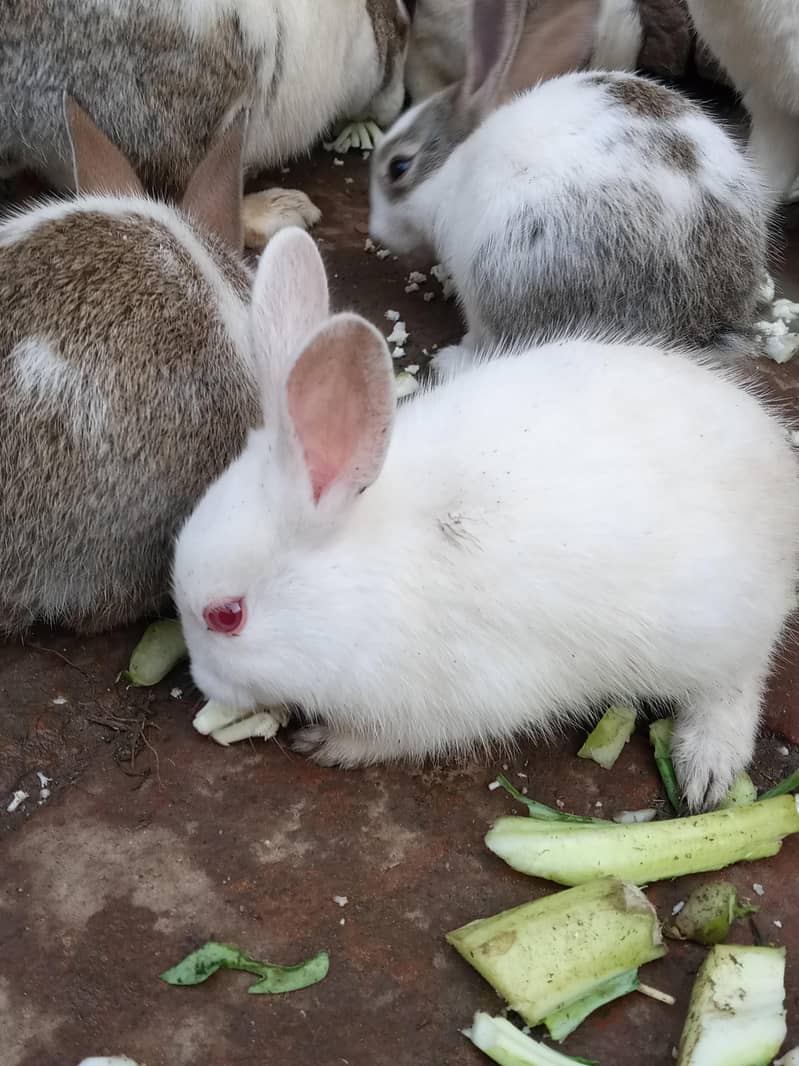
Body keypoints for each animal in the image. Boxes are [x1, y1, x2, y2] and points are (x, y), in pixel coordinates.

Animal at [172, 227, 799, 812]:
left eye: (227, 616)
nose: (203, 681)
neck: (360, 584)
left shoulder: (443, 700)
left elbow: (391, 738)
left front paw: (328, 744)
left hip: (713, 633)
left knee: (737, 684)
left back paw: (706, 769)